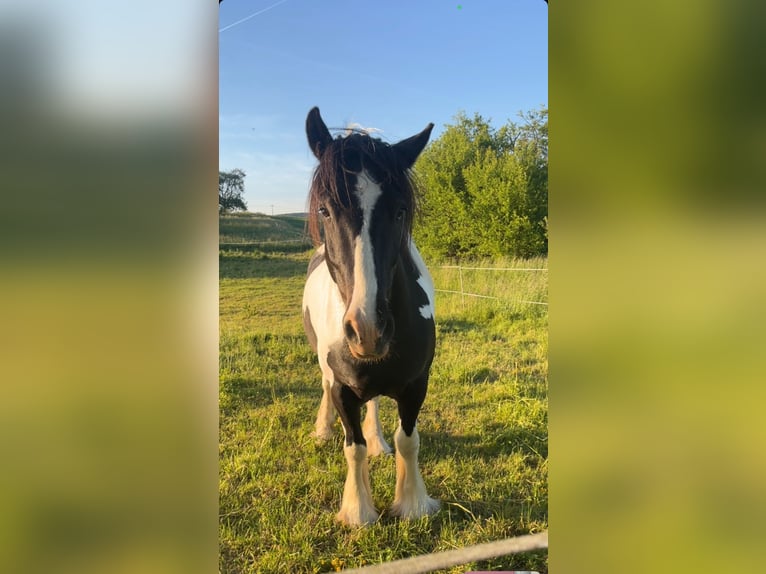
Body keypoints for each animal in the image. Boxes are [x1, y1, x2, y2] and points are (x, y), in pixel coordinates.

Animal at [302, 107, 440, 526]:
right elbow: (353, 447)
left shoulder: (415, 384)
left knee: (376, 403)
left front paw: (412, 504)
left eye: (399, 211)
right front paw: (359, 511)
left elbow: (407, 440)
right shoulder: (342, 388)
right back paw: (322, 429)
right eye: (325, 210)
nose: (367, 330)